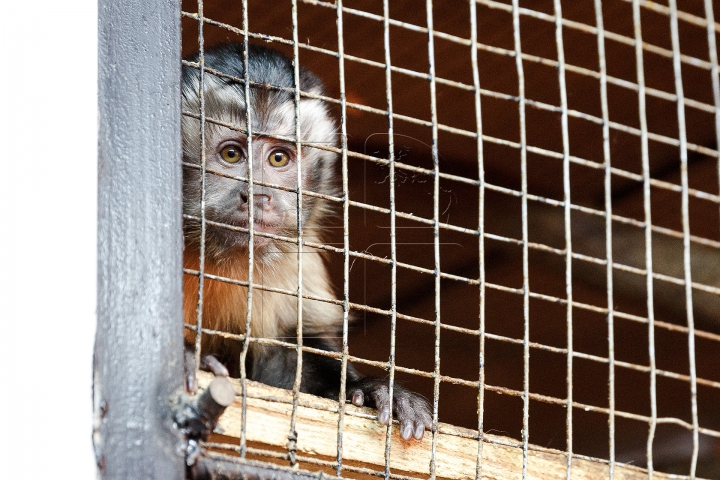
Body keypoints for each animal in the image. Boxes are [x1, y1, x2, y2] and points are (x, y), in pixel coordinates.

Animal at [183, 43, 430, 440]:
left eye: (278, 158)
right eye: (231, 154)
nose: (258, 195)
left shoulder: (297, 257)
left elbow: (284, 361)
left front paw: (372, 389)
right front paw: (183, 358)